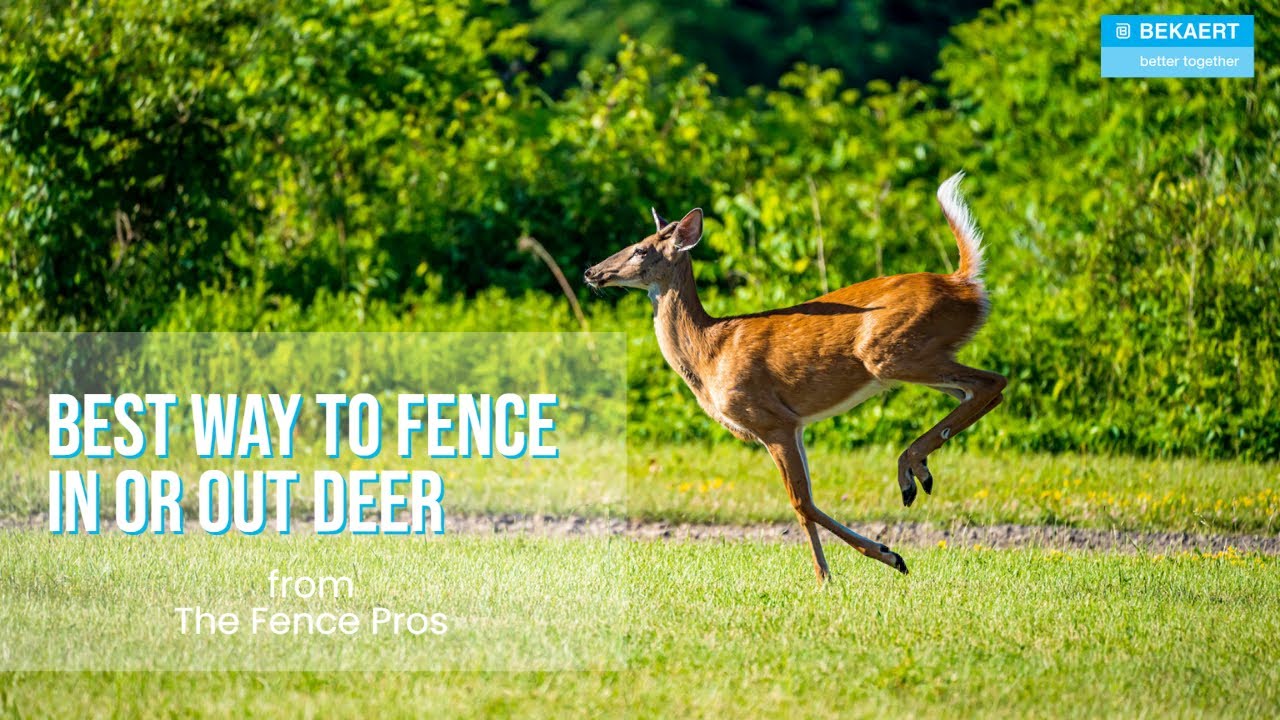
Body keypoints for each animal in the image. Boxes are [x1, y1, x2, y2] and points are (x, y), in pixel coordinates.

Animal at [583, 172, 1006, 579]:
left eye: (642, 249)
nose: (591, 271)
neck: (709, 352)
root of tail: (964, 283)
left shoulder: (772, 420)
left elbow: (801, 501)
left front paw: (886, 557)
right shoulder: (795, 424)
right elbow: (806, 502)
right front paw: (826, 576)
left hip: (892, 354)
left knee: (993, 381)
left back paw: (908, 472)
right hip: (918, 358)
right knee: (980, 392)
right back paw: (918, 470)